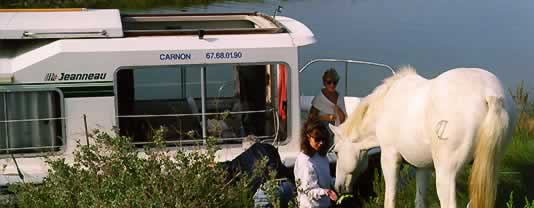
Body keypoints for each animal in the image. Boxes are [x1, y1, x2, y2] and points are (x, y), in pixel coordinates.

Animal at [332, 67, 516, 208]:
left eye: (336, 152)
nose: (338, 187)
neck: (384, 106)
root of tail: (490, 94)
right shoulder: (422, 167)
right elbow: (419, 200)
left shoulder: (389, 157)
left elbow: (390, 199)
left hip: (446, 175)